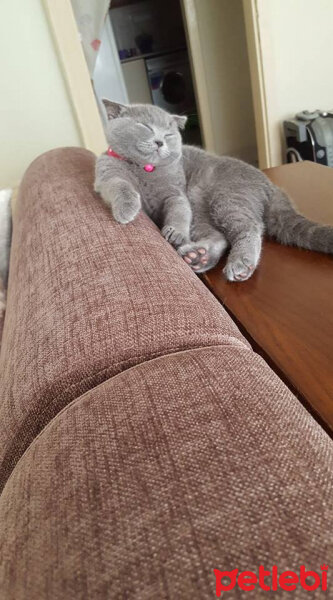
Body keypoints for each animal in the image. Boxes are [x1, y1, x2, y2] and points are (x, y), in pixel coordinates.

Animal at [94, 101, 332, 282]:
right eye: (145, 126)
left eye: (169, 134)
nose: (160, 141)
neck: (146, 170)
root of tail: (271, 186)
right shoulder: (106, 176)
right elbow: (120, 185)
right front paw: (128, 208)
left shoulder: (176, 192)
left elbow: (178, 209)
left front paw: (173, 230)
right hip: (203, 209)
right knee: (219, 236)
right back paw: (198, 256)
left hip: (223, 198)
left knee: (250, 227)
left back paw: (240, 263)